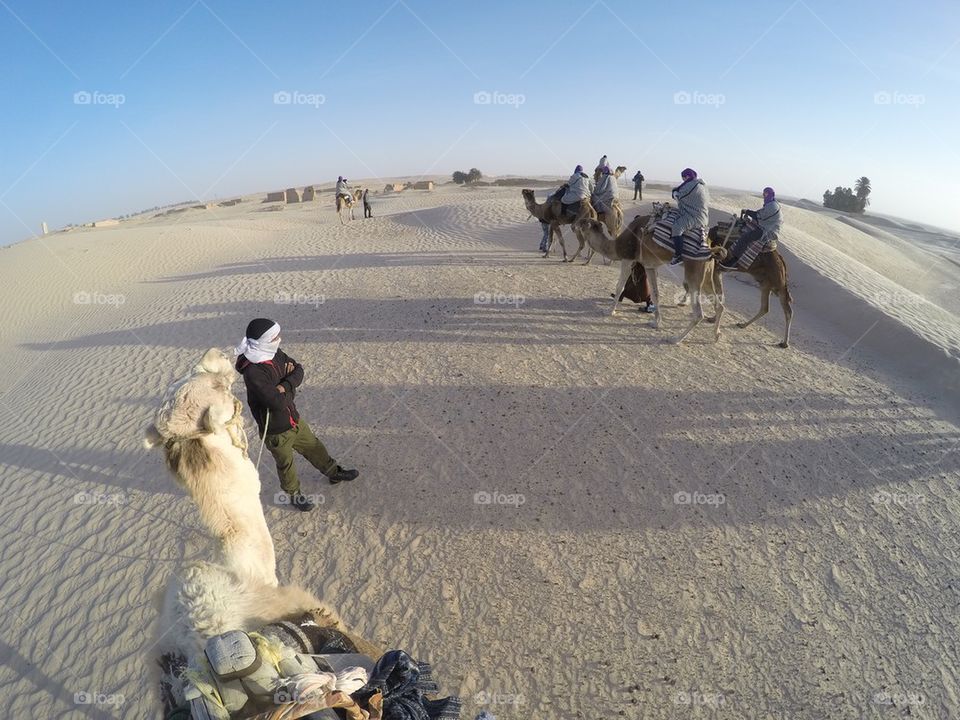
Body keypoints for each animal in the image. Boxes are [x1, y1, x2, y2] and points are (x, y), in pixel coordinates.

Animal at [572, 210, 724, 344]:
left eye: (583, 222)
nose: (573, 226)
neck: (615, 246)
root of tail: (711, 248)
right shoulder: (650, 266)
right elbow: (655, 294)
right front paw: (656, 322)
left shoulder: (627, 258)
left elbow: (619, 287)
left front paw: (609, 311)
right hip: (707, 271)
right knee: (719, 305)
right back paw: (716, 335)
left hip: (693, 269)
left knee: (699, 313)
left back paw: (675, 339)